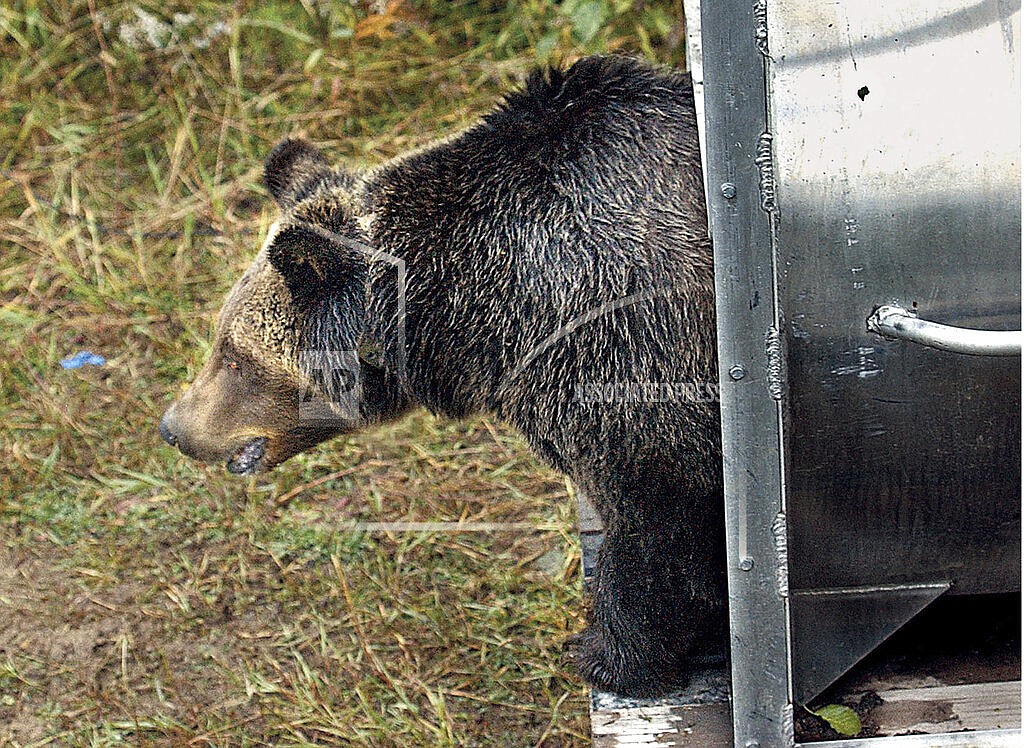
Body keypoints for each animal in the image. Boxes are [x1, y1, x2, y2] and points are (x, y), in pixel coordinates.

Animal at [159, 55, 724, 696]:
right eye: (221, 338)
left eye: (235, 355)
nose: (172, 427)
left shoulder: (621, 346)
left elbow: (655, 519)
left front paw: (613, 655)